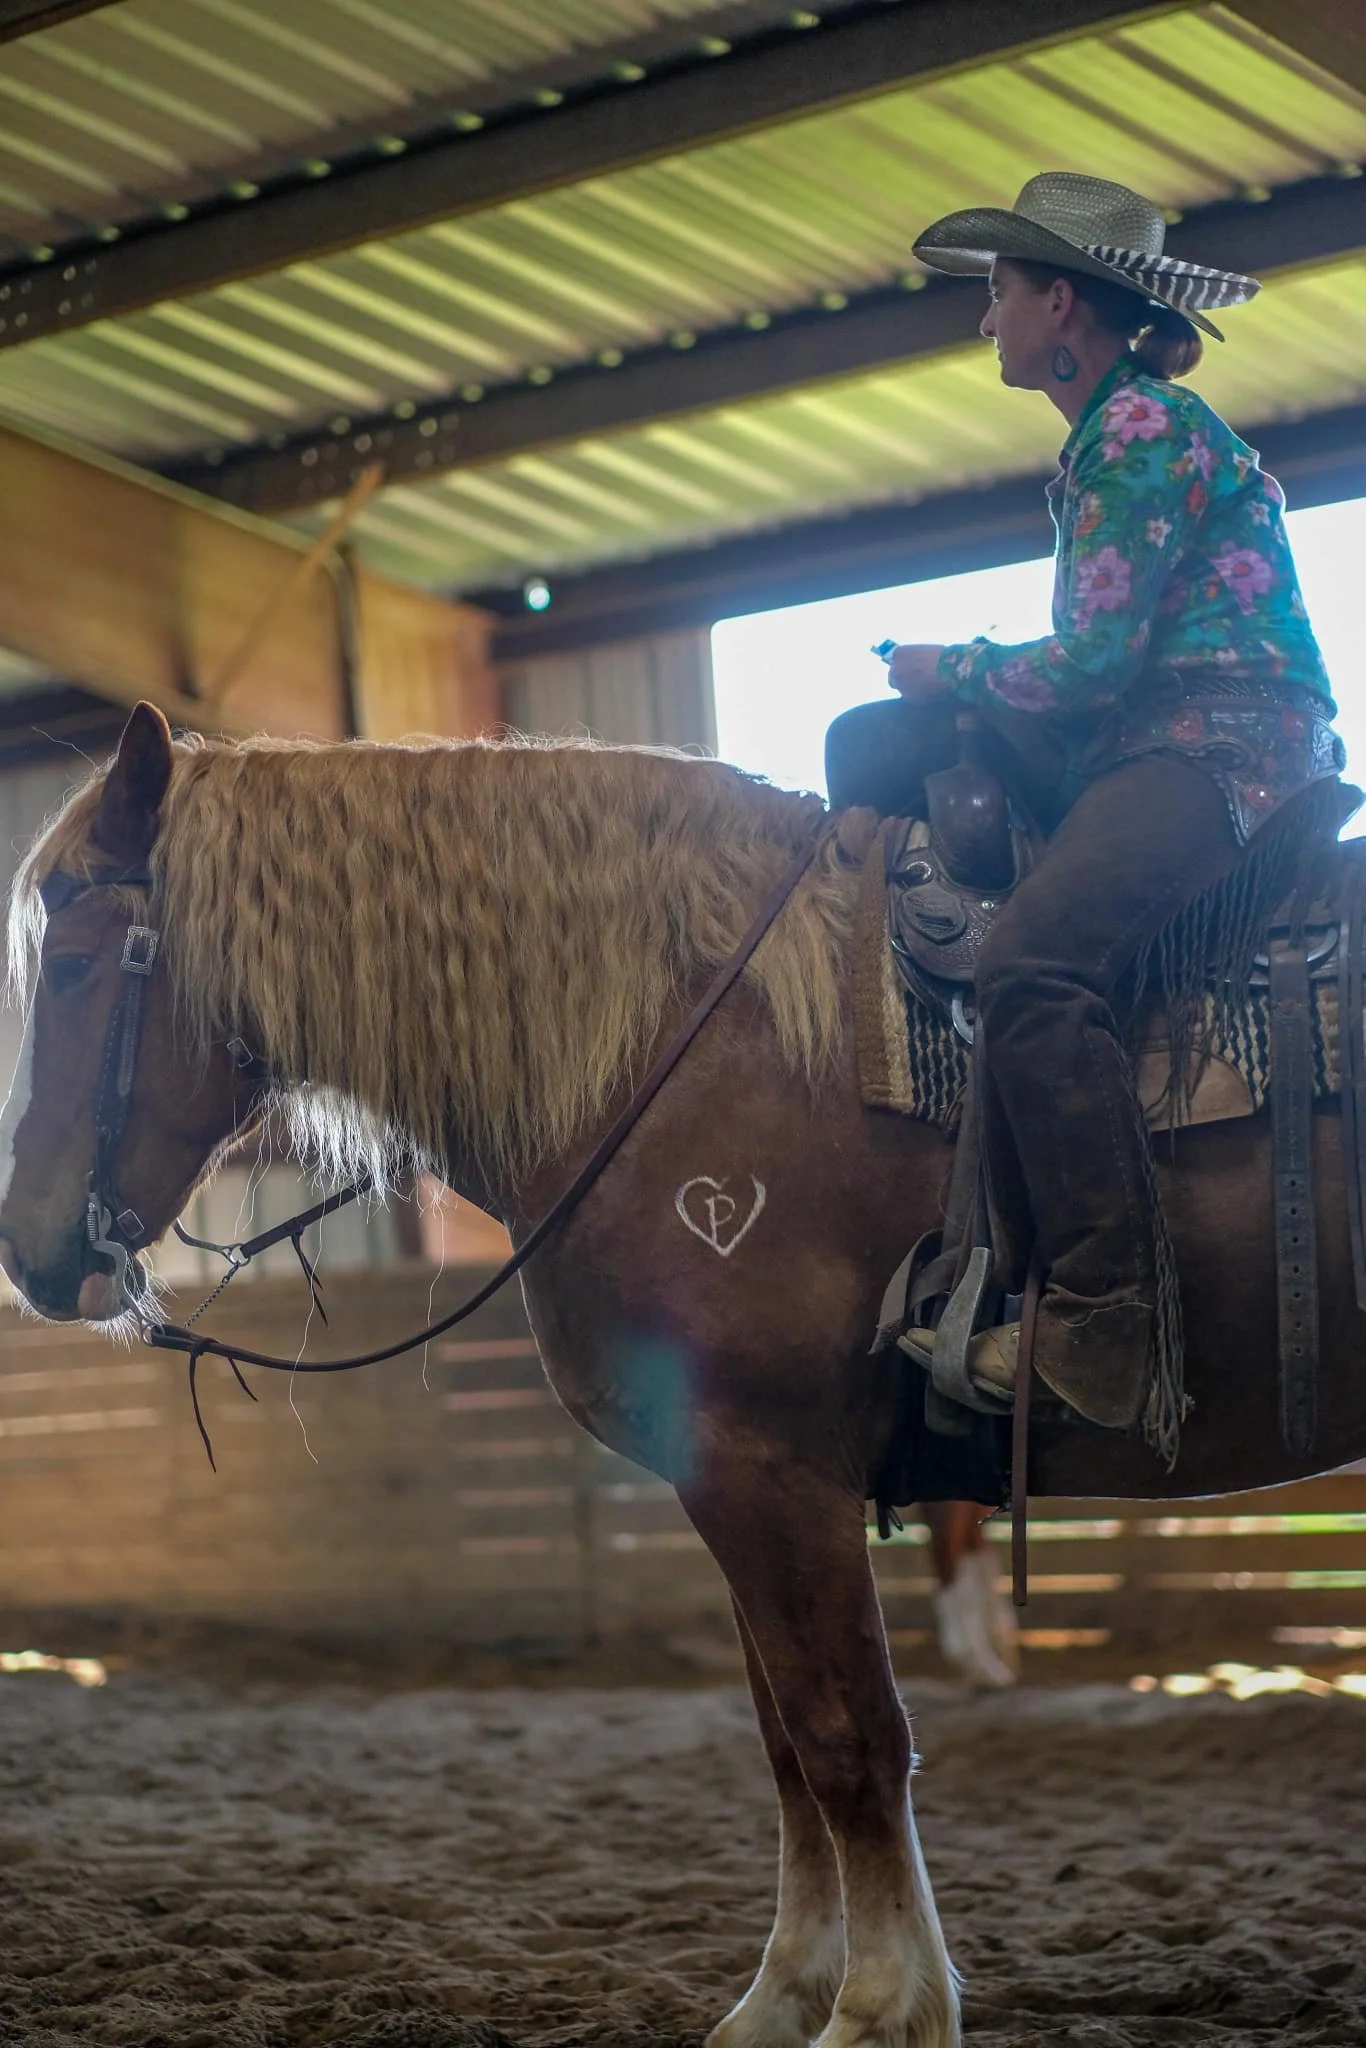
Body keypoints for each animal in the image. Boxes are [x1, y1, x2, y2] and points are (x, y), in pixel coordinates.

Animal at [2, 701, 1364, 2048]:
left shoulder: (771, 1472)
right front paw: (785, 1991)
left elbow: (848, 1734)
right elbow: (785, 1743)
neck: (683, 1044)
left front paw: (881, 2004)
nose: (32, 1250)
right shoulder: (732, 1480)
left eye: (70, 967)